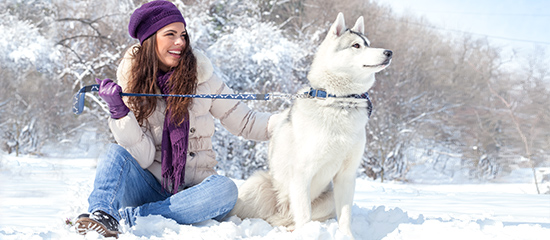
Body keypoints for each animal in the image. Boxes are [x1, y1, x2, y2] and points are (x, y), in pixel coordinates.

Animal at [229, 12, 392, 238]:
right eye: (356, 45)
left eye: (369, 43)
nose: (389, 52)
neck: (339, 102)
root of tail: (280, 214)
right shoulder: (301, 174)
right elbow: (304, 214)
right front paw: (309, 234)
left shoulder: (347, 176)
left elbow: (345, 216)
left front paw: (346, 236)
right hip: (257, 185)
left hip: (328, 199)